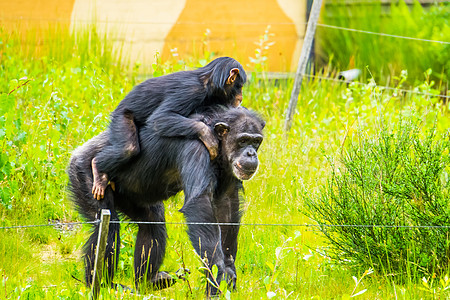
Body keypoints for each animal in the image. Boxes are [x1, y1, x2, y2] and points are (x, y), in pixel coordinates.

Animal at [67, 105, 264, 296]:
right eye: (243, 140)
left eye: (256, 141)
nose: (250, 153)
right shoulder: (196, 149)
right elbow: (199, 202)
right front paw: (216, 274)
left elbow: (227, 203)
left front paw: (229, 269)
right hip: (86, 175)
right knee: (108, 229)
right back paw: (103, 285)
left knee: (152, 223)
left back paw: (148, 282)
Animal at [91, 57, 246, 200]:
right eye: (240, 86)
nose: (241, 96)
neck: (209, 83)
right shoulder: (191, 91)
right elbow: (161, 117)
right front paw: (208, 135)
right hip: (121, 118)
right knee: (128, 149)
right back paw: (98, 170)